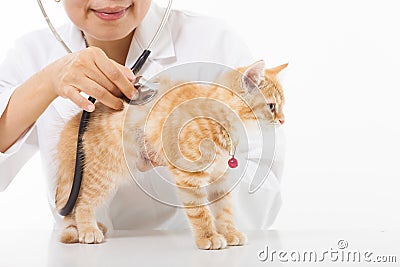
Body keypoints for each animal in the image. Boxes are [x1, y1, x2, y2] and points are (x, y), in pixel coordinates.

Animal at [55, 60, 288, 249]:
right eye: (271, 106)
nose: (283, 120)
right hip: (102, 174)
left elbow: (225, 210)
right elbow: (200, 211)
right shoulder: (190, 176)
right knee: (82, 203)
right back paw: (88, 230)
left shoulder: (220, 178)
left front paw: (229, 233)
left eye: (282, 106)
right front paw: (208, 237)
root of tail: (76, 121)